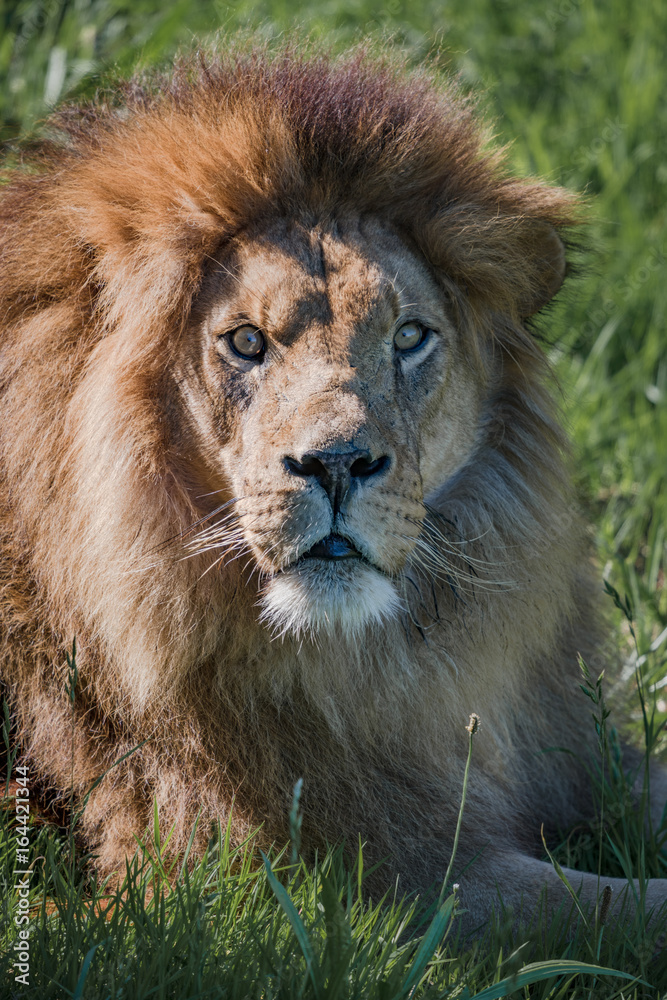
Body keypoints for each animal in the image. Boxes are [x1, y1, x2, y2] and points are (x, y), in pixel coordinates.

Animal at [1, 45, 667, 936]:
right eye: (246, 342)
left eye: (409, 337)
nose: (336, 463)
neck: (374, 662)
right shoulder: (371, 881)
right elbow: (615, 911)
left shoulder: (572, 754)